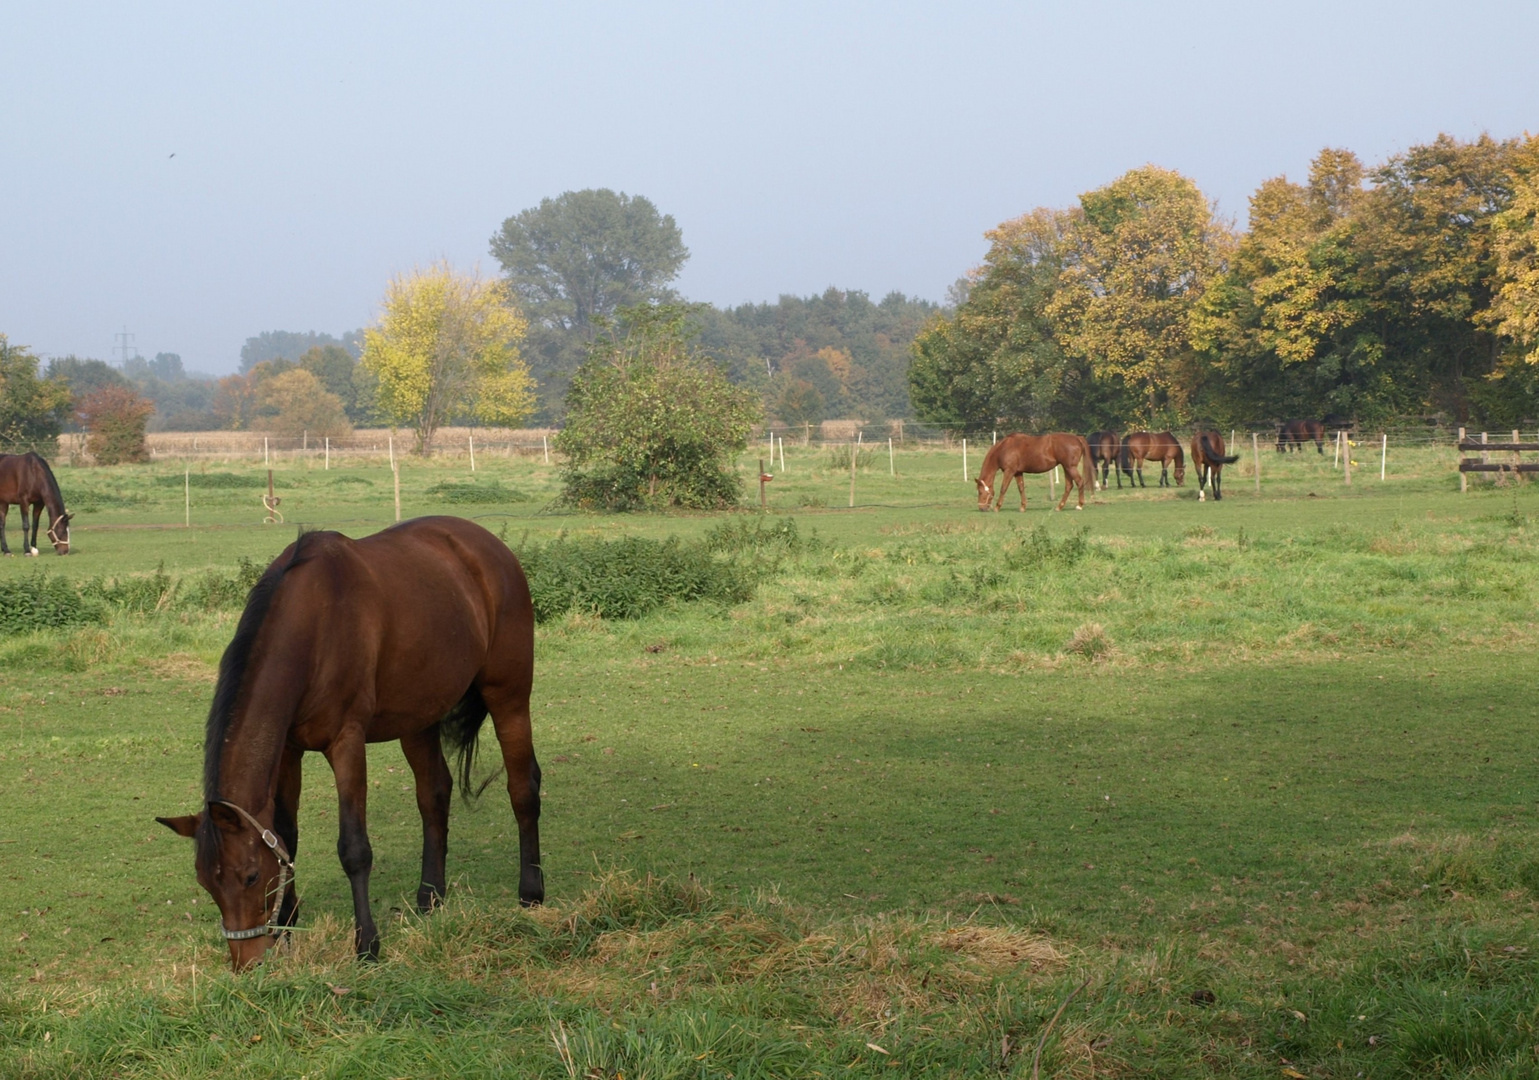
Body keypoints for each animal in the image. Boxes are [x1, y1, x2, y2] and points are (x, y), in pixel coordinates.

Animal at [156, 516, 541, 972]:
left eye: (249, 875)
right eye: (205, 882)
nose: (246, 963)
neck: (313, 625)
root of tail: (490, 547)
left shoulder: (347, 743)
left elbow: (354, 848)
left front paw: (367, 945)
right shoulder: (288, 751)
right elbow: (287, 838)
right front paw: (288, 930)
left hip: (509, 696)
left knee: (523, 787)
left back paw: (531, 892)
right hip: (418, 718)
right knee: (434, 794)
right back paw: (429, 898)